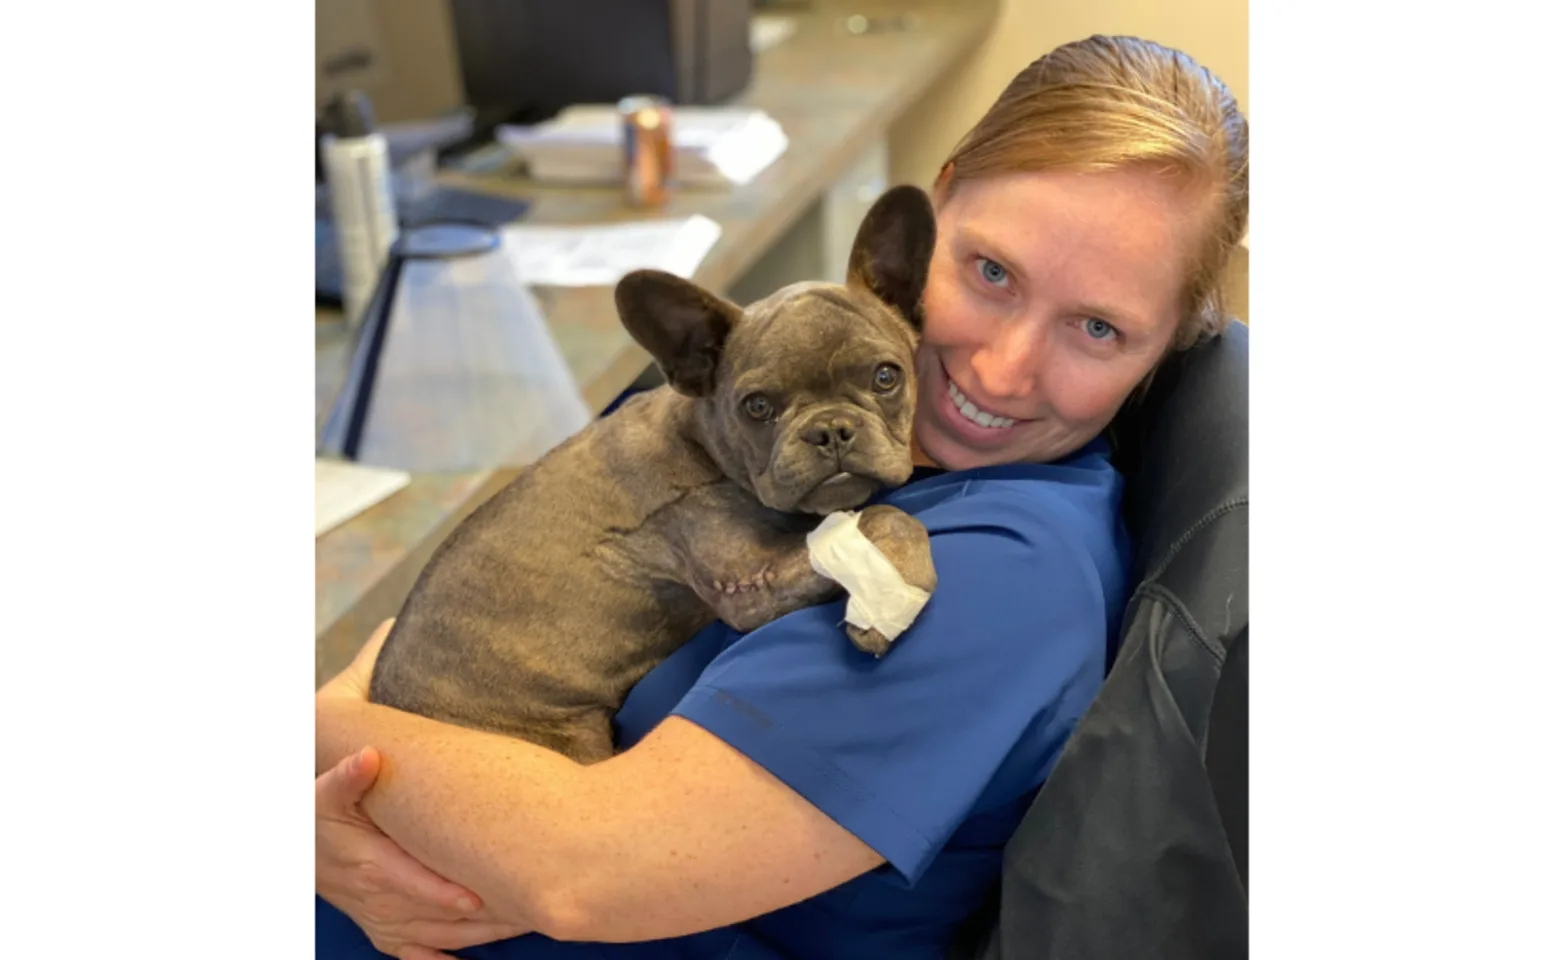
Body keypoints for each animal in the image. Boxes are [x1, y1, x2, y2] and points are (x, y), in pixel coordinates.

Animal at [365, 184, 938, 762]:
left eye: (886, 377)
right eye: (757, 407)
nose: (830, 429)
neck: (704, 443)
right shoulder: (749, 579)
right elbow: (885, 516)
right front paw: (895, 593)